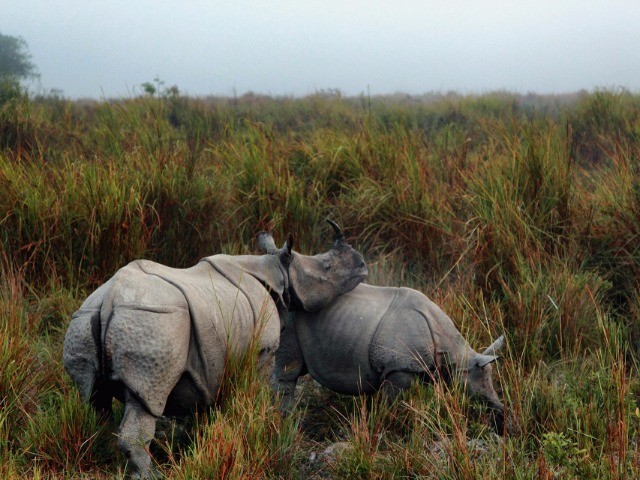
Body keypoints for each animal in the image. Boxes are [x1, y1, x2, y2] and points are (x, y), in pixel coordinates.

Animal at [63, 221, 367, 478]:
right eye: (326, 267)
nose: (363, 265)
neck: (277, 270)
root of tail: (111, 298)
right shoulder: (263, 349)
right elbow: (258, 389)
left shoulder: (215, 359)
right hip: (154, 320)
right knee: (145, 399)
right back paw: (151, 475)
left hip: (86, 318)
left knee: (93, 398)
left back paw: (103, 454)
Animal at [258, 233, 506, 433]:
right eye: (480, 387)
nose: (500, 411)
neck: (454, 351)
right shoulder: (399, 367)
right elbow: (391, 404)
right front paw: (387, 425)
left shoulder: (420, 366)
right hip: (289, 313)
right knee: (288, 367)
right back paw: (286, 419)